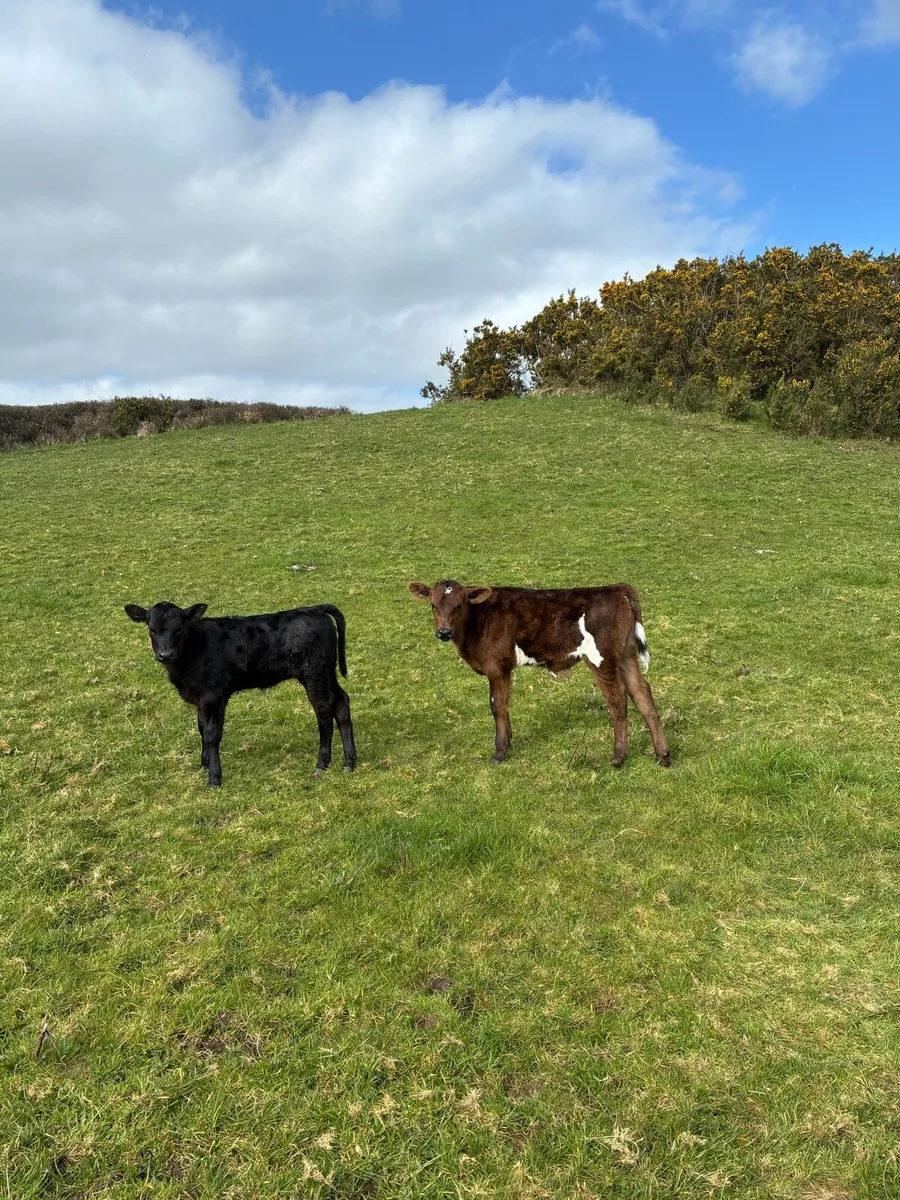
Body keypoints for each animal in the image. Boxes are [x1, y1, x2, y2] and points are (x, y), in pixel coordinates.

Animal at [124, 600, 356, 787]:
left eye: (179, 629)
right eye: (152, 630)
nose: (165, 654)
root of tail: (316, 609)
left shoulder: (213, 694)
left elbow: (211, 734)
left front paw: (214, 779)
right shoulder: (206, 698)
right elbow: (202, 728)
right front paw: (204, 765)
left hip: (314, 673)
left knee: (324, 713)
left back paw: (321, 765)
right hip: (327, 672)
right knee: (341, 702)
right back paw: (349, 763)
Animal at [407, 579, 670, 769]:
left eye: (459, 605)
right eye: (433, 605)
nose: (443, 632)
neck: (477, 622)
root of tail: (612, 588)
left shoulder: (496, 666)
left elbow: (497, 705)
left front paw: (499, 752)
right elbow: (504, 705)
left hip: (601, 658)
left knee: (617, 699)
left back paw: (619, 756)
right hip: (625, 654)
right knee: (642, 692)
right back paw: (663, 755)